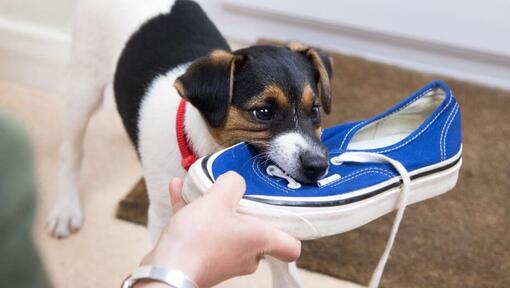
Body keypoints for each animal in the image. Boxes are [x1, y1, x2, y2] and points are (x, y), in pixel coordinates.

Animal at [47, 0, 334, 286]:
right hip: (85, 86)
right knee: (70, 151)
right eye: (263, 112)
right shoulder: (164, 218)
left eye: (315, 110)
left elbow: (286, 270)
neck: (202, 146)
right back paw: (66, 210)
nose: (318, 165)